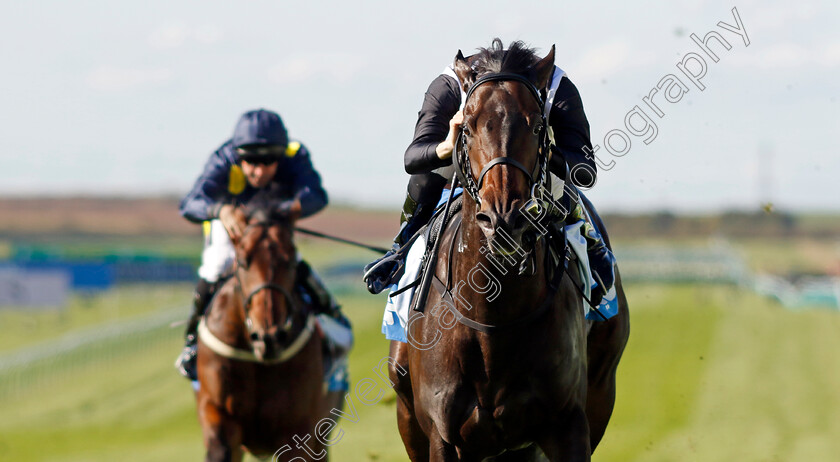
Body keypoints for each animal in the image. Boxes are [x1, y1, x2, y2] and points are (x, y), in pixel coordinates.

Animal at [197, 207, 342, 462]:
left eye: (291, 260)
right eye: (243, 261)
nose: (270, 337)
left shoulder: (299, 426)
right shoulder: (217, 409)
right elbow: (220, 447)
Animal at [390, 42, 628, 458]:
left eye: (537, 126)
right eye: (467, 128)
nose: (504, 218)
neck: (493, 321)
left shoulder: (568, 425)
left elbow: (582, 163)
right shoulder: (441, 437)